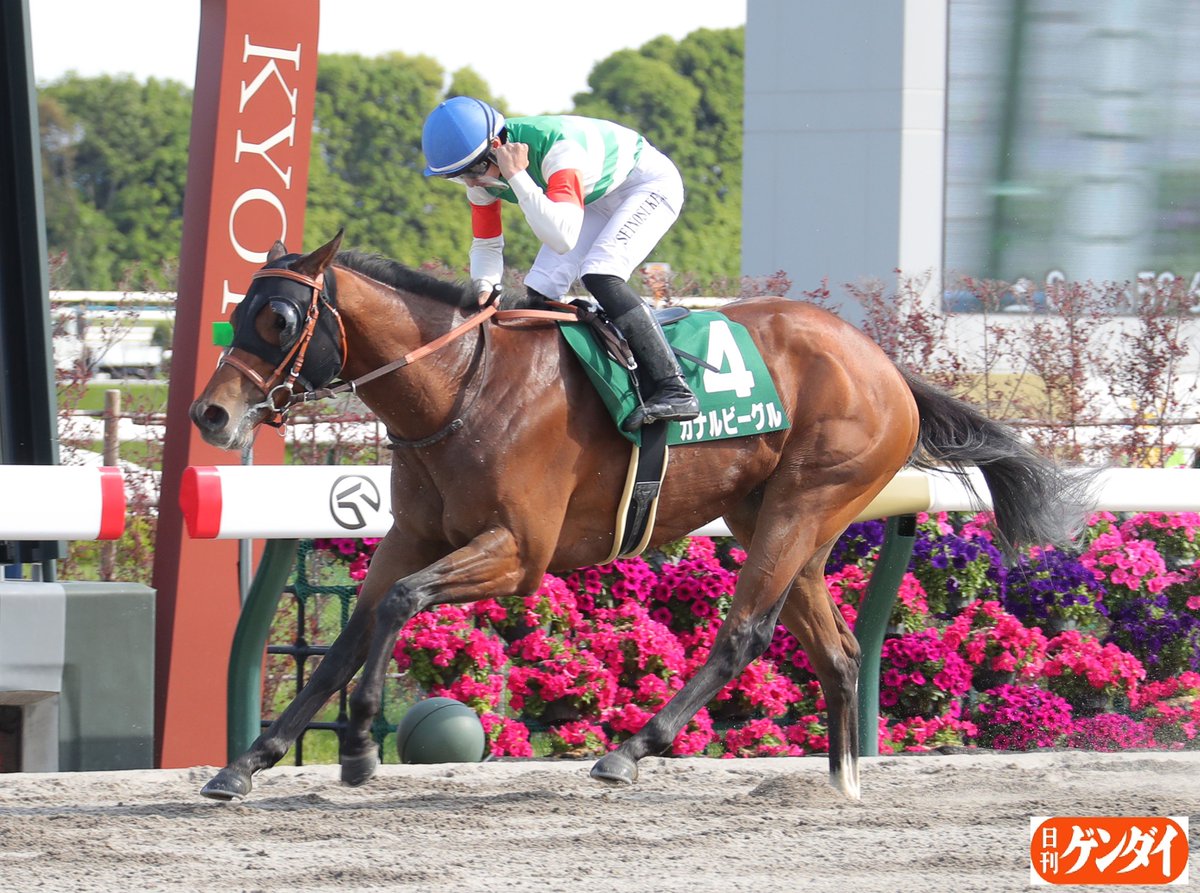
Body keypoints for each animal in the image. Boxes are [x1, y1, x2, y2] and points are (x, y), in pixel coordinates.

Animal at [190, 230, 1091, 801]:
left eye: (278, 319)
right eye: (239, 309)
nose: (211, 415)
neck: (459, 386)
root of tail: (885, 365)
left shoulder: (519, 552)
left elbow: (401, 606)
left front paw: (358, 745)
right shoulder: (412, 534)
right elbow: (350, 635)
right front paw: (248, 762)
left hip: (805, 503)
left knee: (744, 633)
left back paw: (630, 749)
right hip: (780, 520)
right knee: (835, 652)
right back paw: (840, 781)